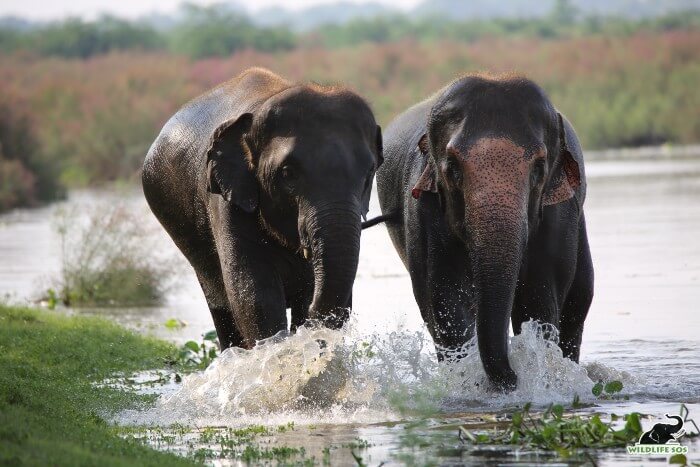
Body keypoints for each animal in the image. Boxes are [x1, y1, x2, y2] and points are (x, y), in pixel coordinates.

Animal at [142, 67, 382, 350]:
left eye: (368, 173)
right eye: (288, 173)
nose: (315, 320)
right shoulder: (227, 202)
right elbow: (255, 295)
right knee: (220, 304)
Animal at [378, 75, 596, 394]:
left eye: (539, 168)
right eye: (452, 168)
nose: (513, 378)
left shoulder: (560, 211)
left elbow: (537, 297)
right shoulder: (424, 207)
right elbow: (445, 298)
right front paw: (469, 383)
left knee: (578, 301)